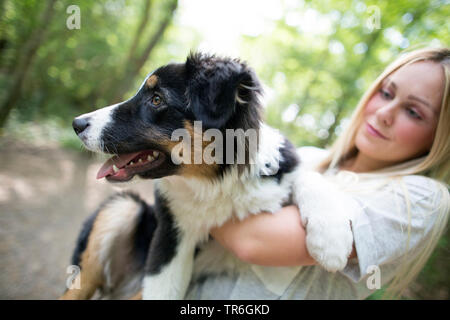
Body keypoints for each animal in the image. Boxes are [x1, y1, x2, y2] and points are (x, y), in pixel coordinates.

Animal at [60, 52, 356, 300]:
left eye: (156, 99)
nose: (77, 123)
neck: (216, 183)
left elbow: (308, 175)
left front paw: (331, 241)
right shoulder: (171, 232)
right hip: (122, 208)